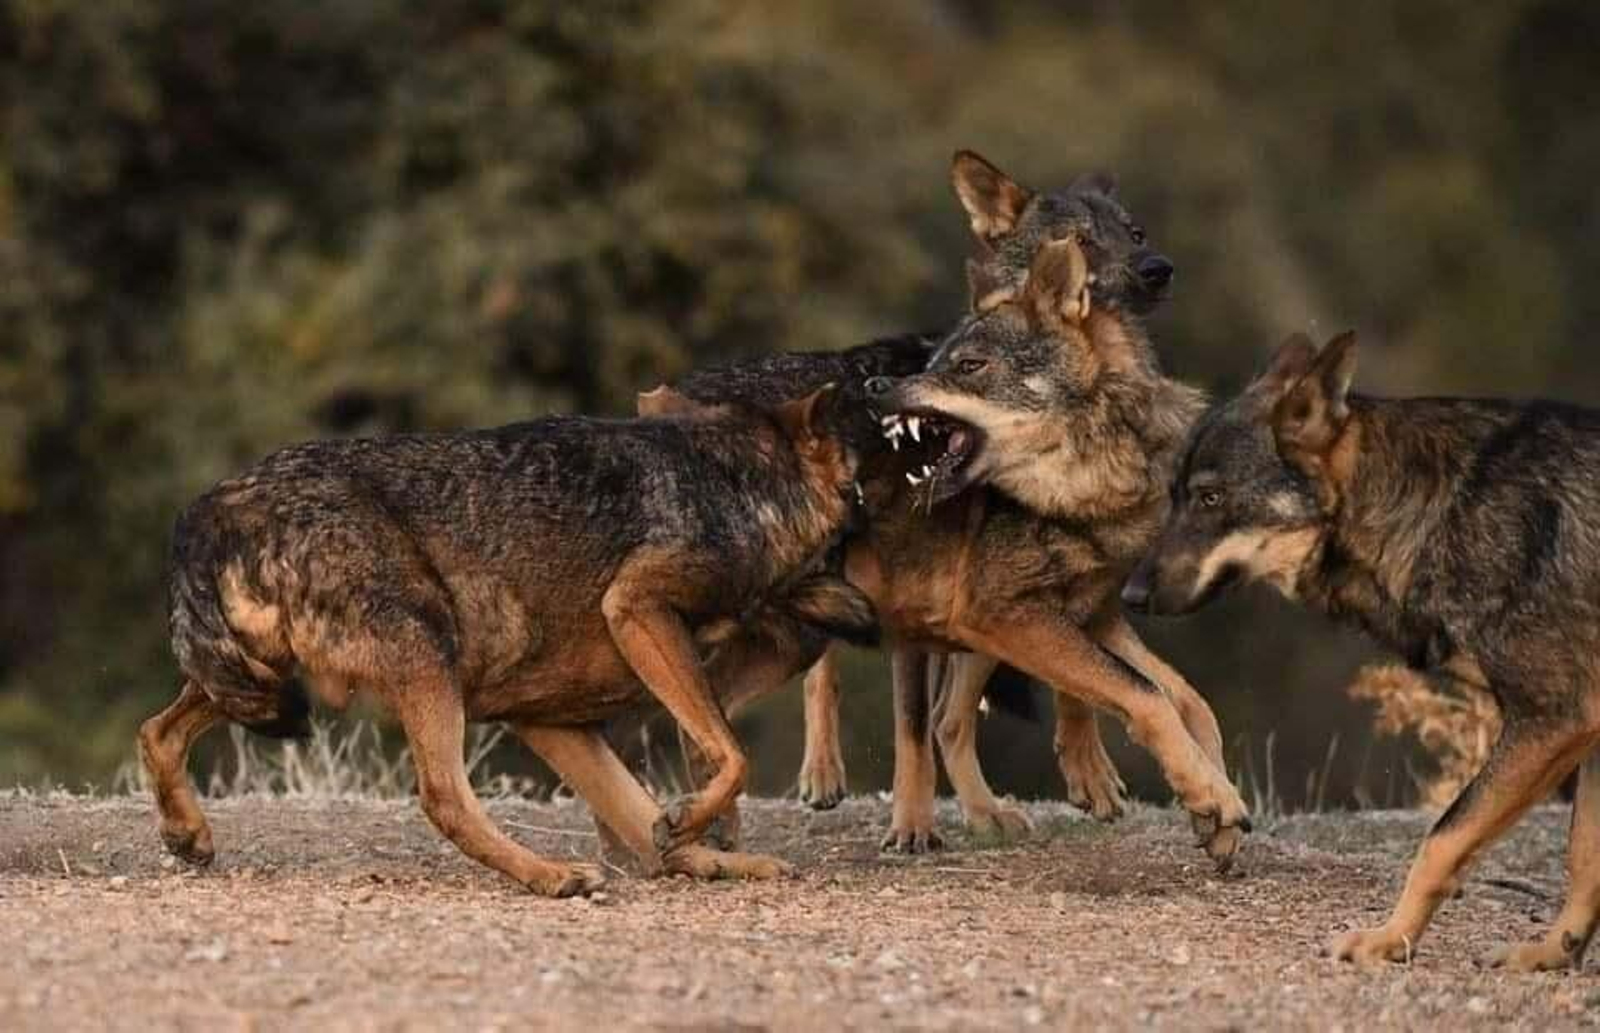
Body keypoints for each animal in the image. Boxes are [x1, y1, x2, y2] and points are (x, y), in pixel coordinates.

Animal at [140, 388, 869, 895]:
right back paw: (547, 875)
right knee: (444, 797)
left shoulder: (548, 720)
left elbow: (639, 814)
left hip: (258, 680)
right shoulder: (637, 609)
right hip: (422, 651)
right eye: (863, 491)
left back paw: (187, 833)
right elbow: (732, 756)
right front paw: (692, 830)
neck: (740, 484)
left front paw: (704, 854)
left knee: (157, 731)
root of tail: (213, 506)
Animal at [1123, 330, 1600, 969]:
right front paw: (1551, 953)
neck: (1443, 508)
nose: (1130, 595)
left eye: (1210, 498)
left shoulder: (1557, 720)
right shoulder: (1586, 728)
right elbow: (1582, 857)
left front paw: (1388, 939)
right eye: (1176, 496)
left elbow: (1442, 837)